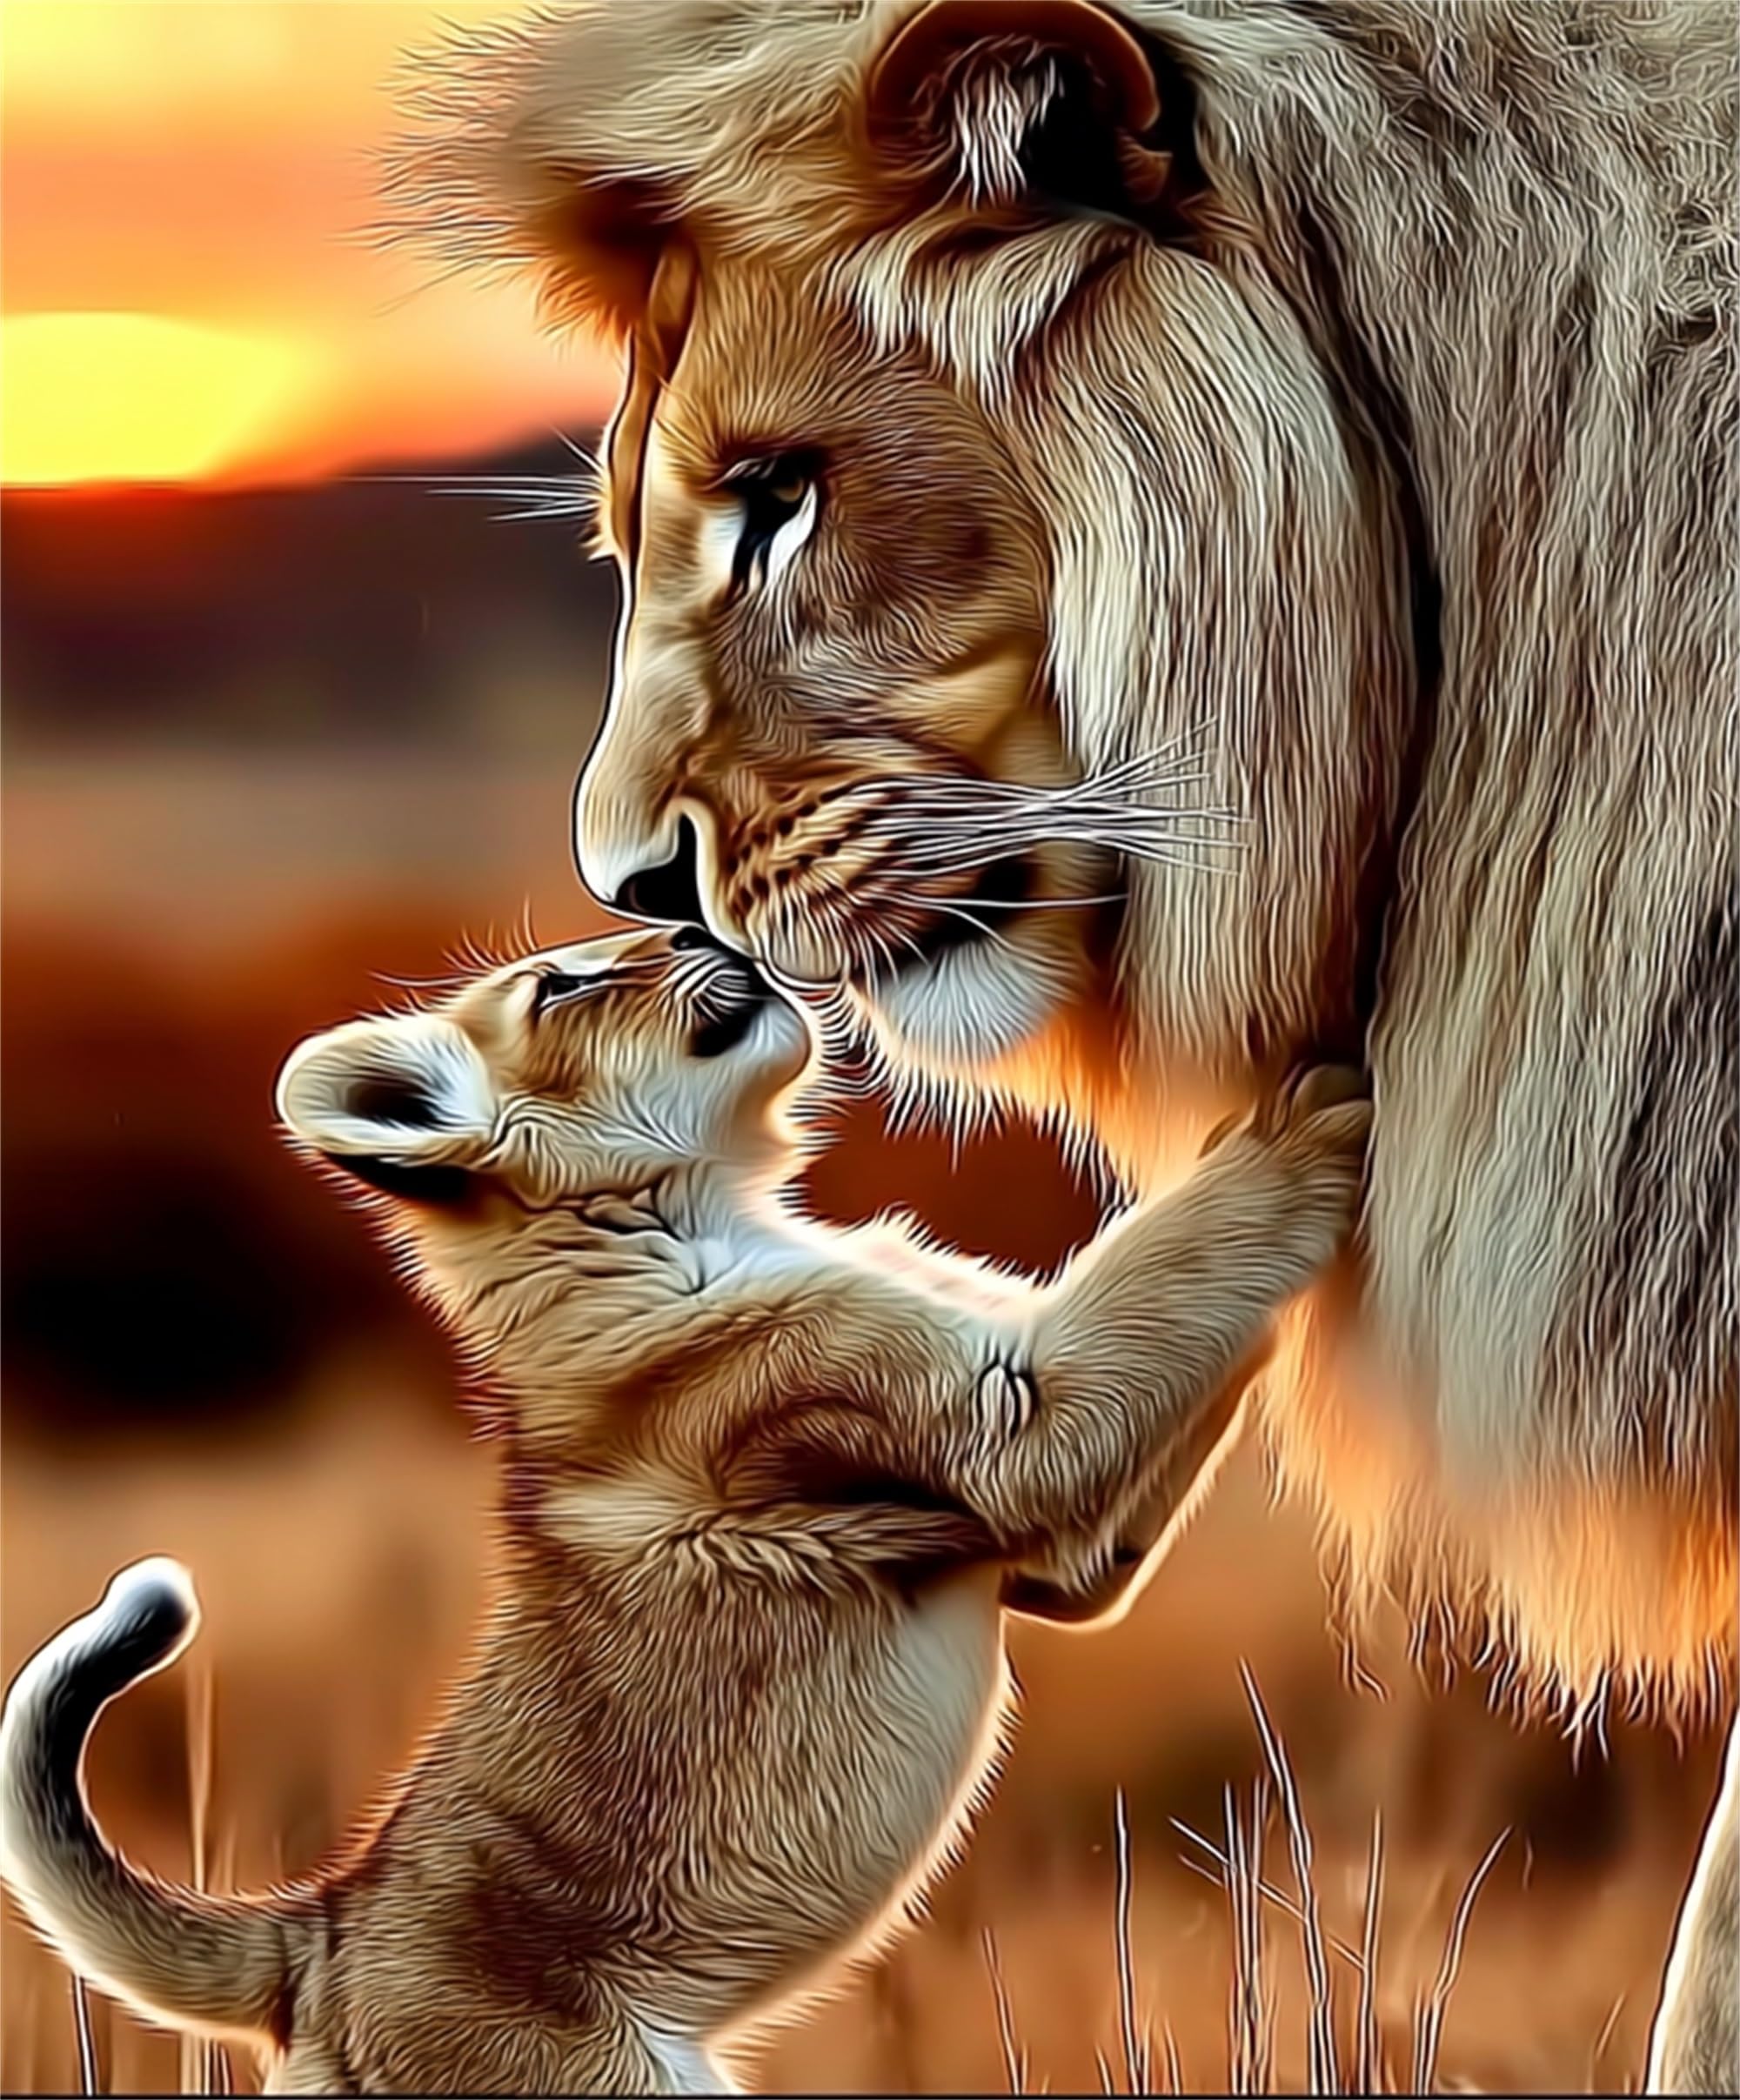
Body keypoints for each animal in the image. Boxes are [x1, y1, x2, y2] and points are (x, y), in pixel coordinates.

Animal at [0, 927, 1369, 2095]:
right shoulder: (1014, 1424)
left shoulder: (1069, 1555)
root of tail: (314, 1942)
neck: (693, 1216)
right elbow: (1175, 1259)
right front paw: (1306, 1109)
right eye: (562, 983)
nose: (702, 922)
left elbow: (1191, 1314)